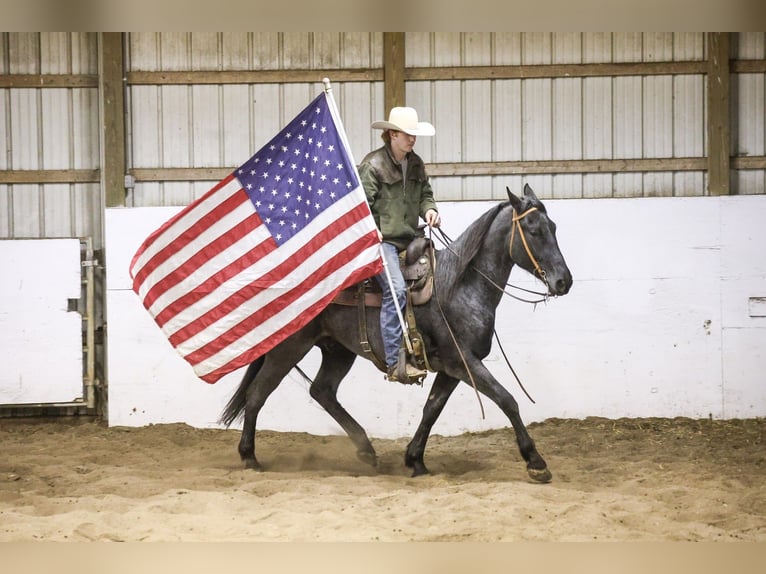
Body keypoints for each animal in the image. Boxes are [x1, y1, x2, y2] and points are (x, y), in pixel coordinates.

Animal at [220, 183, 572, 482]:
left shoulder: (452, 368)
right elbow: (507, 399)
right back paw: (249, 457)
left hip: (338, 350)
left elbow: (432, 409)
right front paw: (536, 462)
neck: (458, 286)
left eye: (554, 228)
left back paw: (367, 451)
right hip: (289, 347)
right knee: (258, 393)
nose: (563, 281)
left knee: (322, 391)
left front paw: (415, 460)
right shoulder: (464, 362)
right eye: (534, 230)